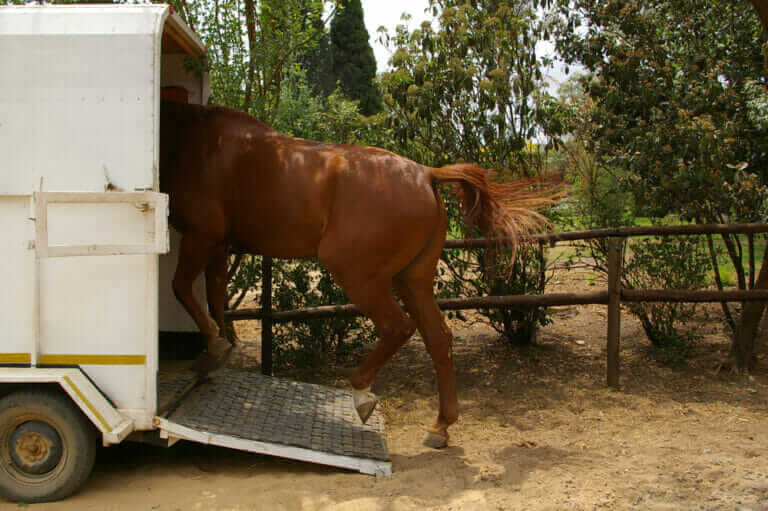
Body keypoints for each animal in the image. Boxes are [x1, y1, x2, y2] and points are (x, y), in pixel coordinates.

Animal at [159, 100, 552, 448]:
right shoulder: (218, 246)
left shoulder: (201, 237)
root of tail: (425, 173)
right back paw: (440, 427)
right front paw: (219, 348)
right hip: (412, 280)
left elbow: (182, 288)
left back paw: (362, 394)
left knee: (397, 327)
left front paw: (214, 345)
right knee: (438, 337)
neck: (197, 141)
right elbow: (215, 297)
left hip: (357, 275)